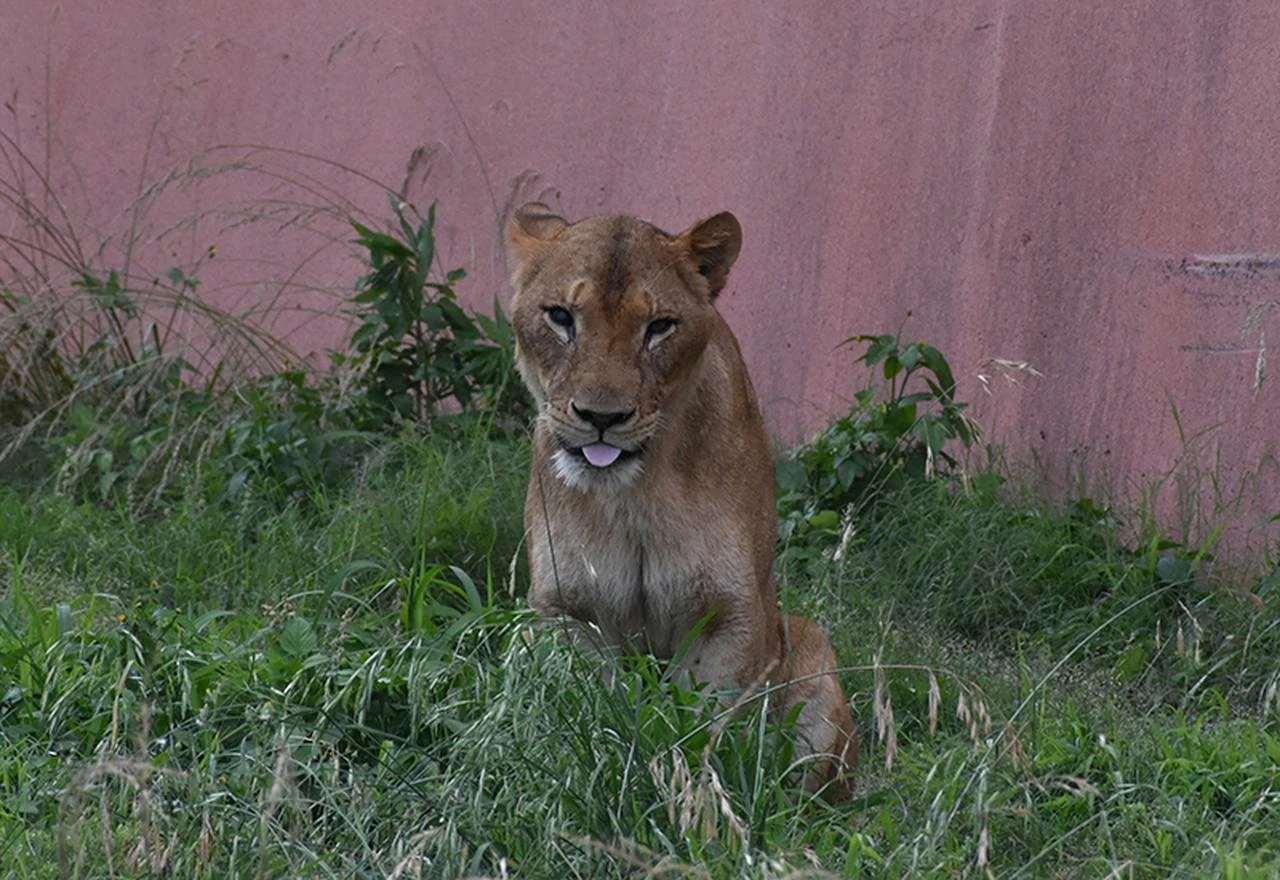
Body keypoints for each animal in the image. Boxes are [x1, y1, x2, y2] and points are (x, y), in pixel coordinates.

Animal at [507, 202, 856, 795]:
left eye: (659, 327)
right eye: (560, 317)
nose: (602, 417)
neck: (636, 496)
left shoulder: (731, 614)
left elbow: (703, 724)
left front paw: (693, 787)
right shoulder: (566, 609)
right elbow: (586, 709)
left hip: (808, 647)